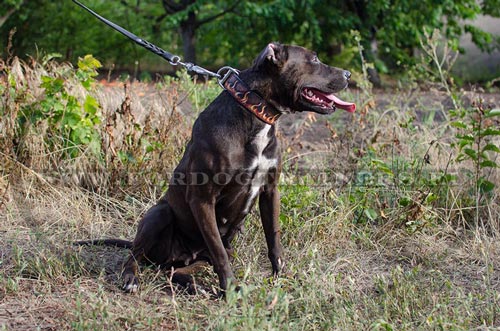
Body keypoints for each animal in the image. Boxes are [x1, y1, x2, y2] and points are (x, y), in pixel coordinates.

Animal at [78, 42, 354, 294]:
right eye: (314, 59)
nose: (348, 74)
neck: (255, 112)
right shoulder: (202, 198)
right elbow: (219, 253)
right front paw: (230, 289)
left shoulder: (270, 190)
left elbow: (273, 238)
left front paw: (281, 277)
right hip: (159, 214)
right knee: (135, 256)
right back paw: (132, 279)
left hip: (205, 254)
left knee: (175, 271)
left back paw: (193, 285)